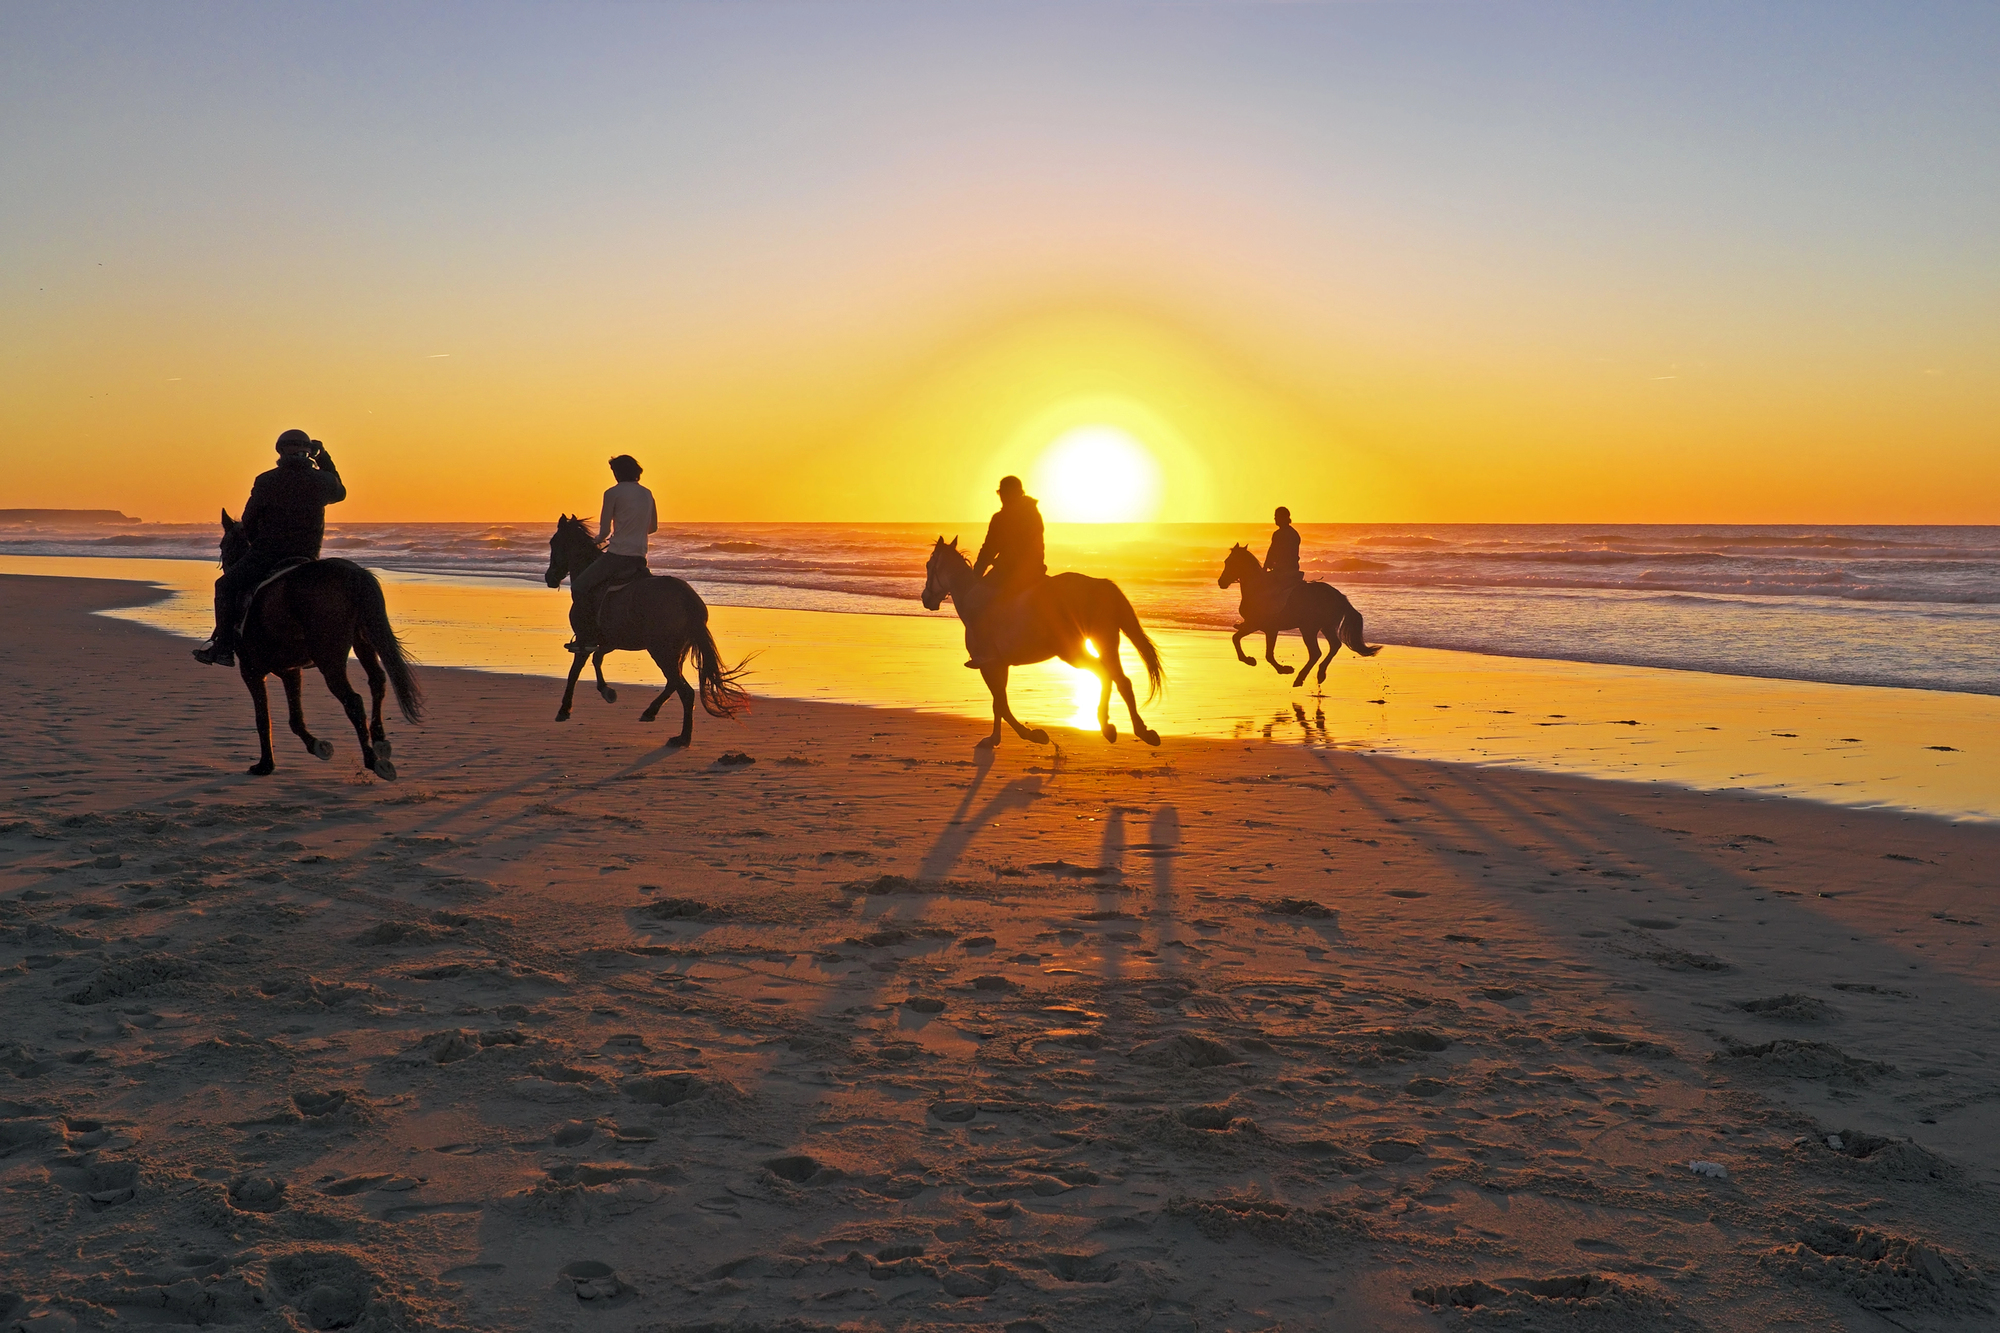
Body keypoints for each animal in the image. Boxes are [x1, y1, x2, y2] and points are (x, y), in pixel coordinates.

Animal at [216, 508, 422, 780]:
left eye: (223, 545)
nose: (226, 568)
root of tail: (354, 575)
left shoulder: (251, 671)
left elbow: (263, 718)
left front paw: (265, 765)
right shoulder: (290, 671)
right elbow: (295, 719)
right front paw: (317, 746)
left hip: (329, 659)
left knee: (353, 701)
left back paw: (372, 760)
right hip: (363, 641)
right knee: (377, 681)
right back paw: (379, 741)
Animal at [544, 510, 748, 736]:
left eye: (554, 542)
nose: (549, 577)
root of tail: (686, 598)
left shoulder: (584, 639)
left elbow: (574, 672)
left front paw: (564, 709)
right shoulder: (609, 641)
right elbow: (597, 658)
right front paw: (607, 691)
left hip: (661, 651)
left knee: (684, 690)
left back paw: (681, 737)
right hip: (674, 651)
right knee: (673, 683)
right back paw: (652, 712)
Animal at [916, 536, 1168, 748]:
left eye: (929, 566)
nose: (925, 598)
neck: (971, 599)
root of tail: (1099, 584)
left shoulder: (988, 665)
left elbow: (1001, 704)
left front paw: (1032, 735)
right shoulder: (1000, 666)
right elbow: (999, 704)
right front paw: (996, 738)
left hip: (1072, 650)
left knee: (1105, 675)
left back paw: (1107, 726)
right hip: (1104, 640)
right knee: (1122, 680)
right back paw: (1143, 732)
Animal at [1216, 540, 1376, 684]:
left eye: (1232, 563)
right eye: (1226, 561)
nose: (1221, 582)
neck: (1258, 588)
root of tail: (1340, 597)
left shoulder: (1259, 625)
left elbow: (1252, 647)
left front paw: (1276, 667)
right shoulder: (1265, 628)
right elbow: (1244, 642)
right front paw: (1259, 662)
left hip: (1309, 629)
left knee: (1316, 652)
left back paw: (1301, 678)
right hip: (1326, 627)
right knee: (1334, 646)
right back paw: (1320, 674)